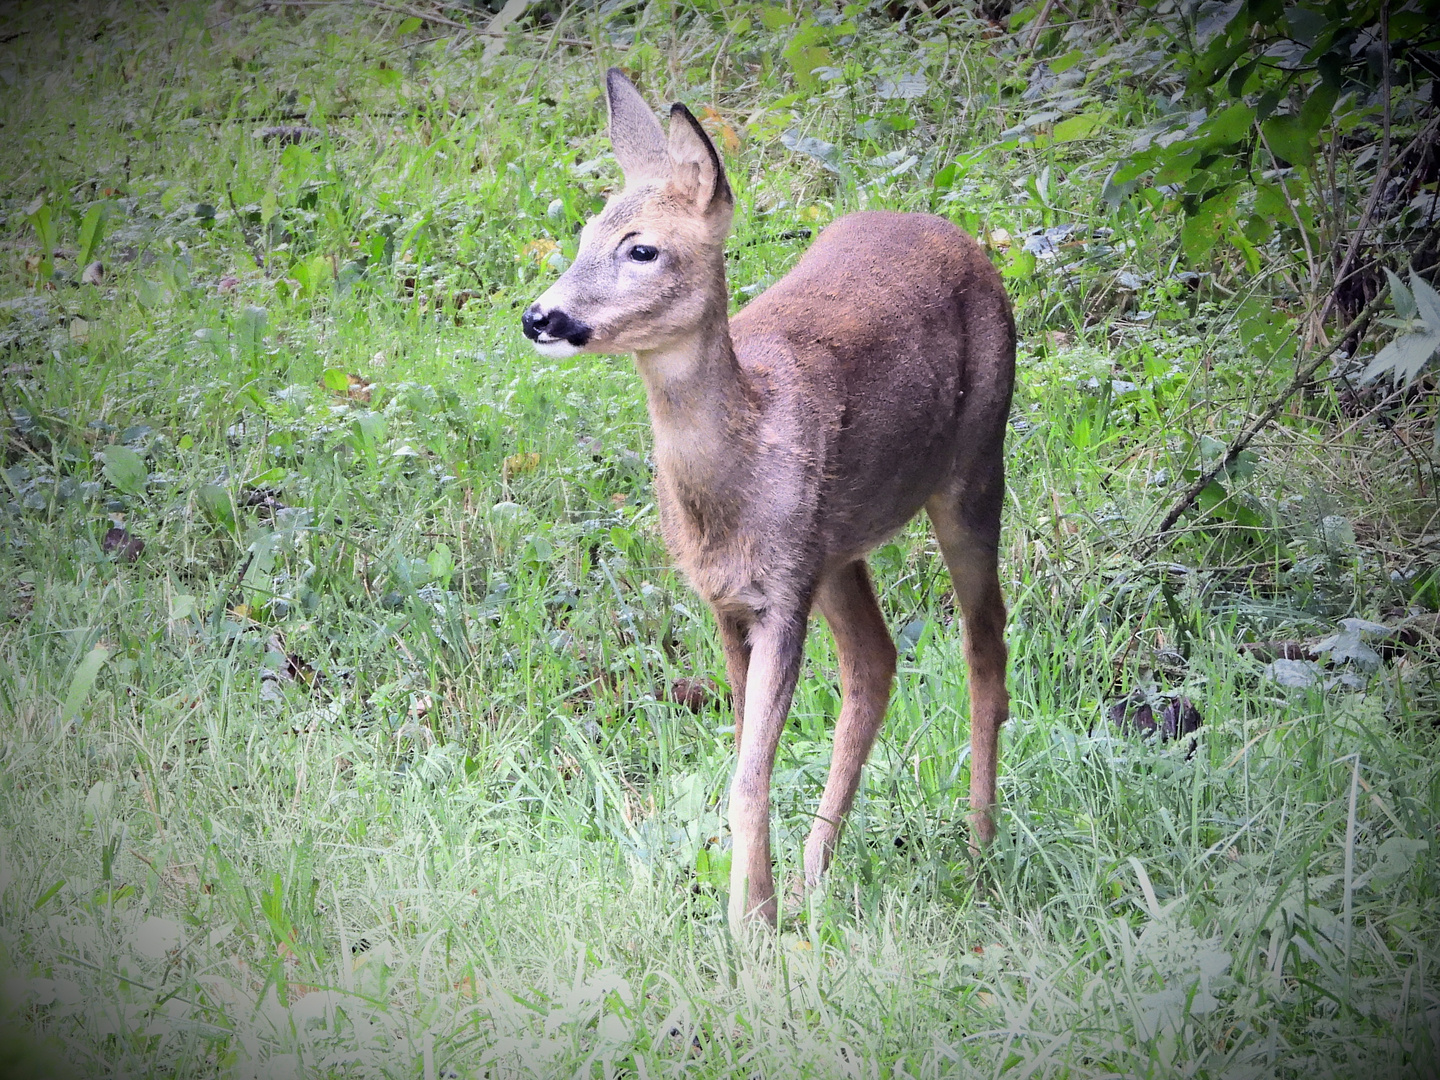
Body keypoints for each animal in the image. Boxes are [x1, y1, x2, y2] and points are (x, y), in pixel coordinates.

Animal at [524, 69, 1019, 933]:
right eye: (584, 234)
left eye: (643, 248)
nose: (541, 316)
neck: (737, 477)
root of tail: (959, 236)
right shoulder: (730, 597)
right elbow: (742, 756)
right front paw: (759, 908)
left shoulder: (782, 595)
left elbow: (750, 774)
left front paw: (745, 924)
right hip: (839, 546)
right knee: (875, 662)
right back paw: (815, 877)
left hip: (974, 463)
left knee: (984, 640)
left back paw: (978, 844)